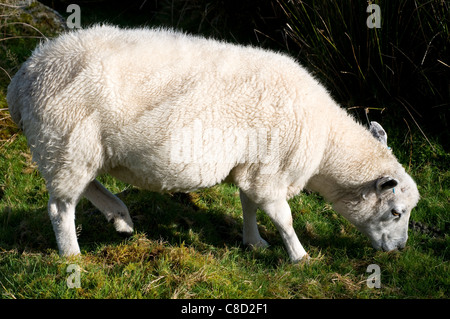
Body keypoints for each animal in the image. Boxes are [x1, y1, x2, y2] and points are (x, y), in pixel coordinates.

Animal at [5, 25, 420, 262]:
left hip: (73, 148)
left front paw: (254, 243)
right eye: (396, 212)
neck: (325, 145)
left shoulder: (253, 166)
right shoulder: (270, 170)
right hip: (66, 141)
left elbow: (248, 205)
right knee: (61, 208)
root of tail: (24, 75)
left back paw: (119, 217)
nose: (400, 250)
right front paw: (299, 256)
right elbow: (282, 216)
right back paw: (72, 256)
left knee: (86, 185)